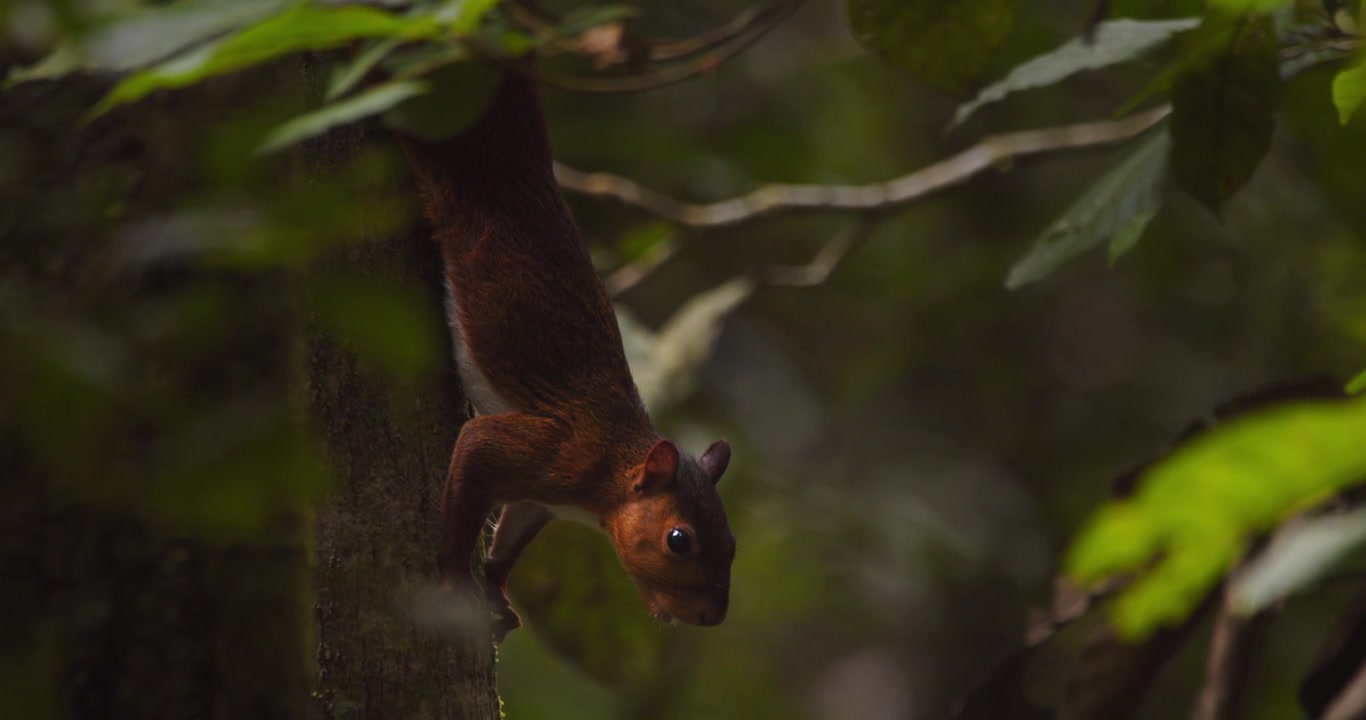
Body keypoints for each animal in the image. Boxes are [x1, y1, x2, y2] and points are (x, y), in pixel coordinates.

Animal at [396, 68, 736, 642]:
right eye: (679, 540)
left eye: (731, 544)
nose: (712, 617)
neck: (609, 473)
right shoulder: (554, 448)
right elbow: (475, 454)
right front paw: (457, 579)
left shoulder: (539, 501)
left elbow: (510, 539)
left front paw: (498, 594)